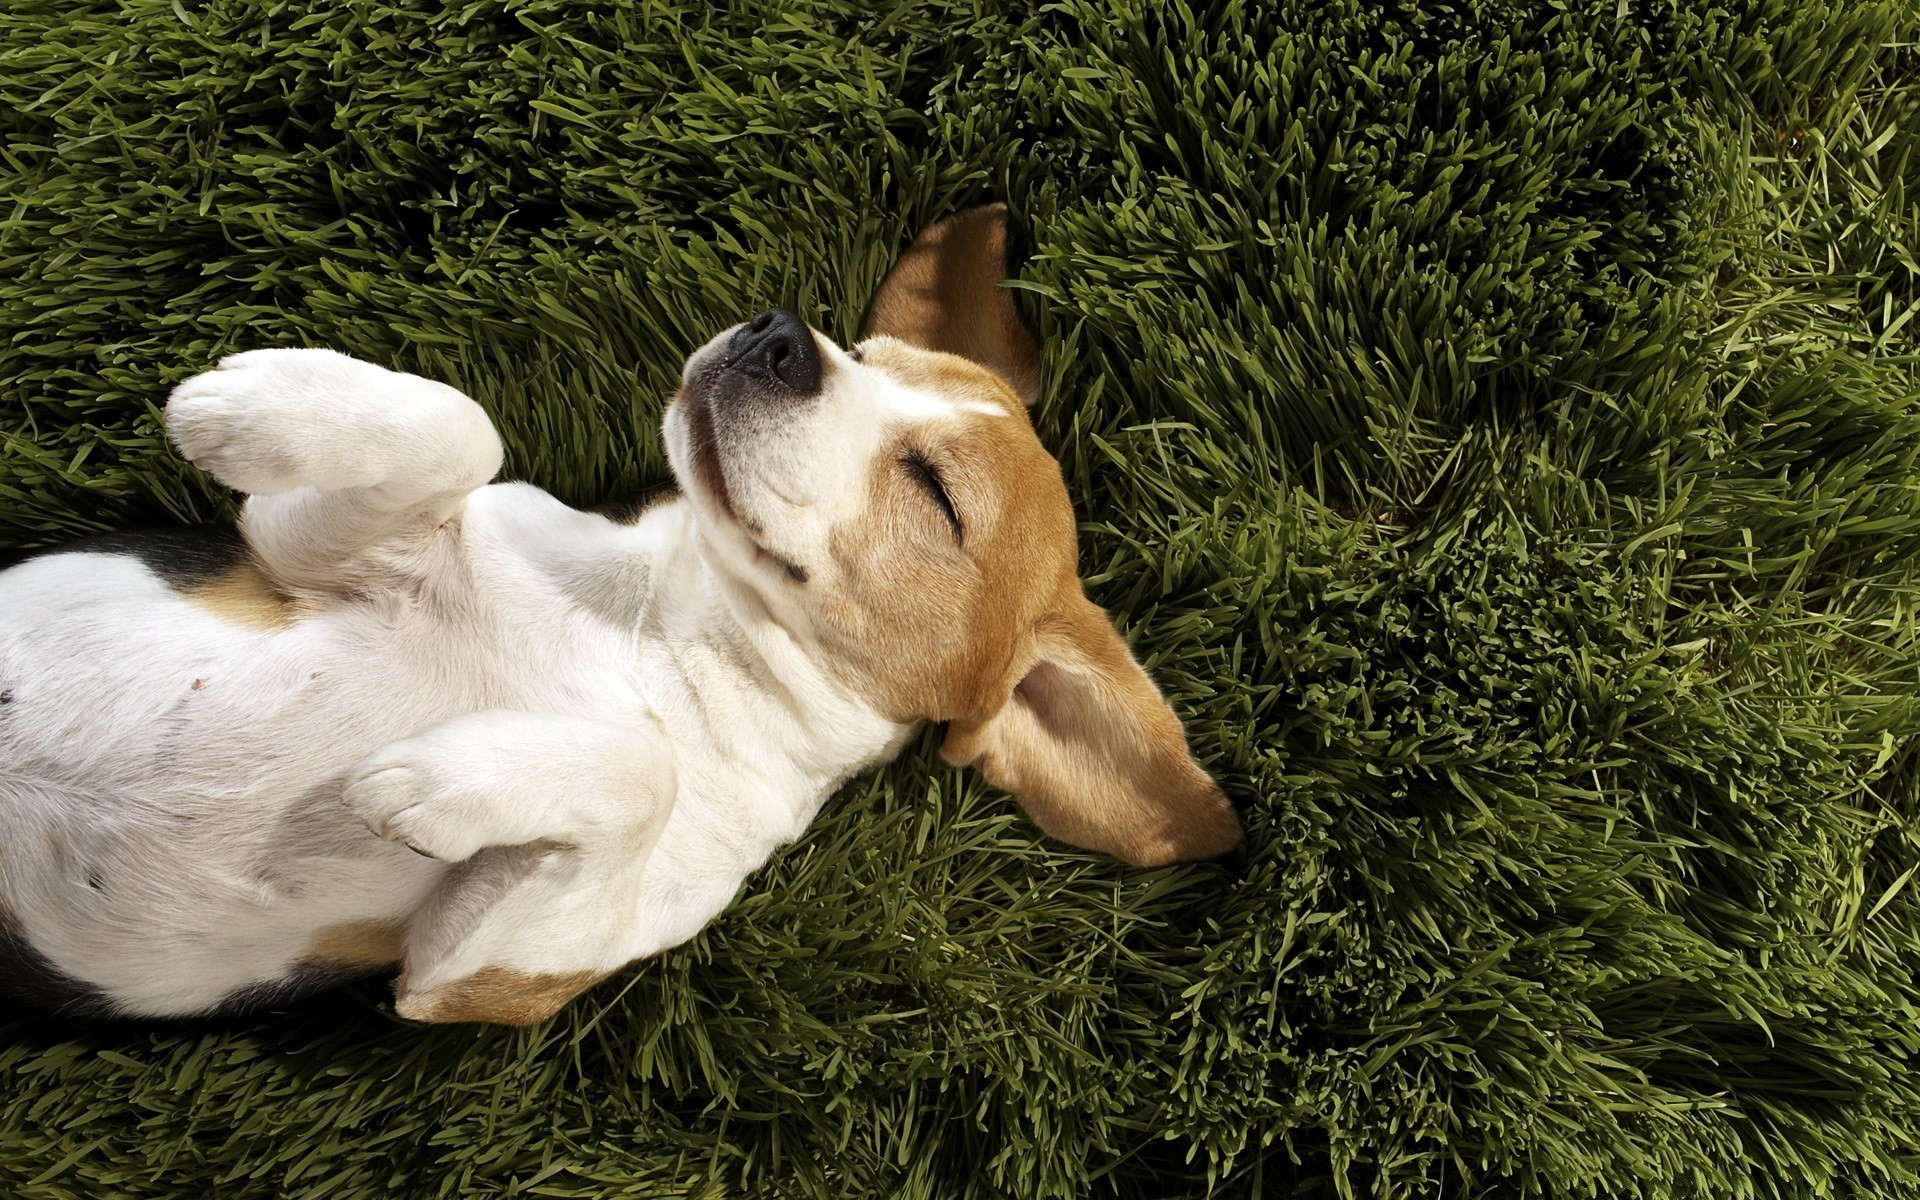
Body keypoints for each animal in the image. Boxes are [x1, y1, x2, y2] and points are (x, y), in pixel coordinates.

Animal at [0, 203, 1244, 1021]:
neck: (670, 647)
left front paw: (450, 776)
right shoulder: (297, 545)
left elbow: (635, 775)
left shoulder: (476, 977)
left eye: (937, 492)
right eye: (861, 352)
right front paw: (264, 394)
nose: (778, 335)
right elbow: (461, 423)